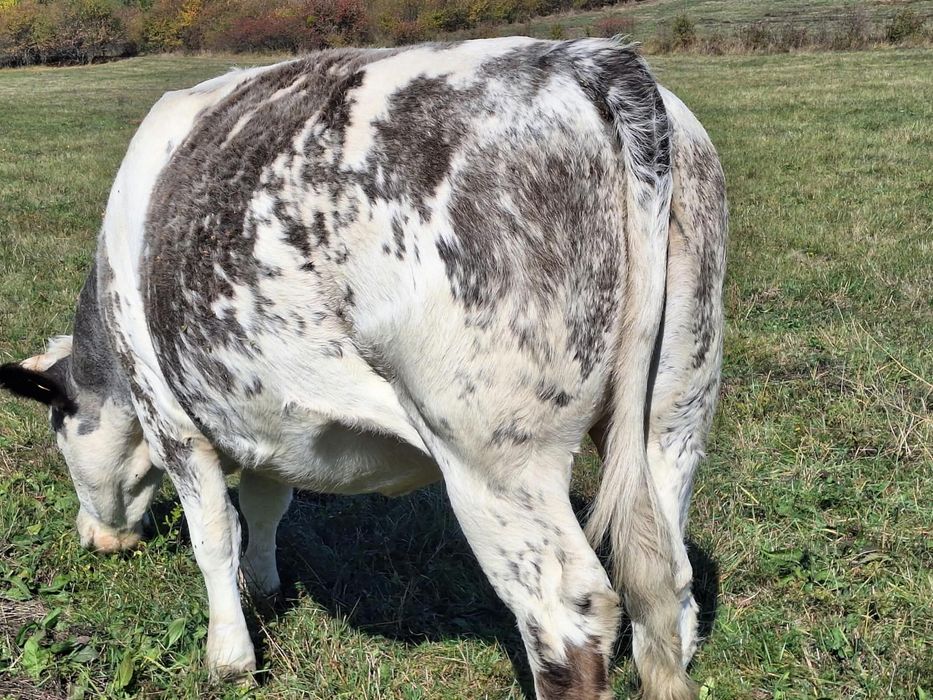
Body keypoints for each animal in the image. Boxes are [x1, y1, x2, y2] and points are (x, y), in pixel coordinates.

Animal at [0, 37, 726, 699]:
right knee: (669, 583)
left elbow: (214, 531)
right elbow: (265, 504)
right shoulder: (266, 416)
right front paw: (264, 590)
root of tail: (584, 59)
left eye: (59, 428)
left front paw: (229, 658)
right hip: (673, 413)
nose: (97, 540)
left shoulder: (170, 415)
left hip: (496, 455)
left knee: (568, 618)